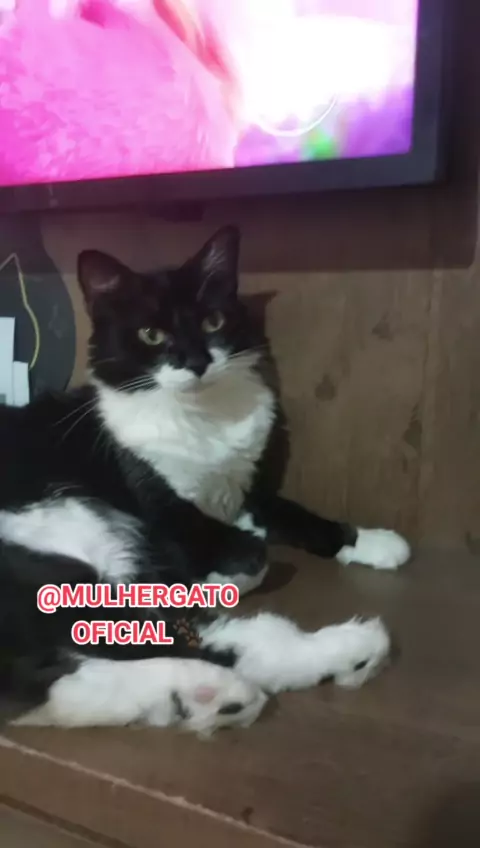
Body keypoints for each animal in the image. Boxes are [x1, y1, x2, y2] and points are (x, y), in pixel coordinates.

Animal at [0, 227, 408, 735]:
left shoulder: (248, 491)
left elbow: (298, 516)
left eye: (213, 322)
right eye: (151, 334)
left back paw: (210, 698)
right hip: (67, 542)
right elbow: (254, 555)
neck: (202, 417)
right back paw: (336, 652)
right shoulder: (163, 514)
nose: (195, 361)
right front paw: (221, 573)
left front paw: (369, 541)